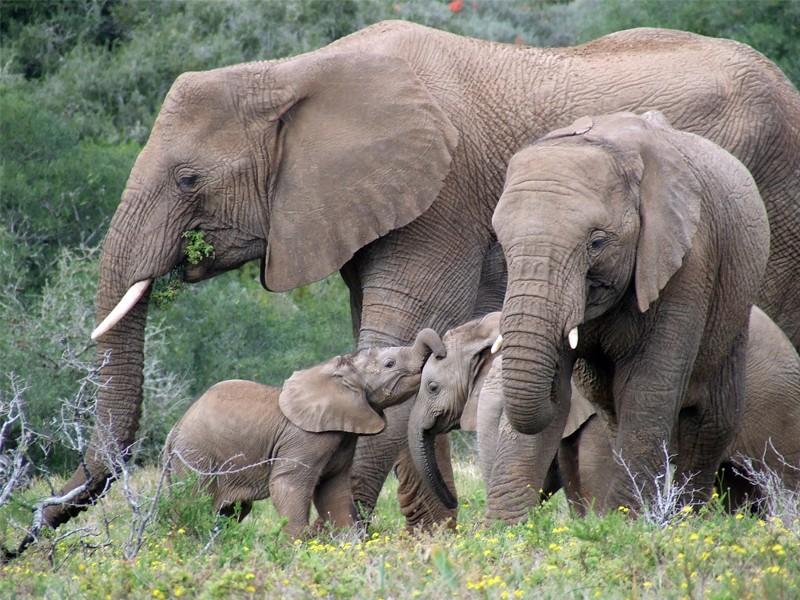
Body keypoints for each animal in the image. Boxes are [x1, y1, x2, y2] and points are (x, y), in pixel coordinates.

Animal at [163, 328, 444, 540]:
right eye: (389, 363)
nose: (441, 352)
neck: (338, 375)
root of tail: (173, 430)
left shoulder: (342, 438)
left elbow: (334, 492)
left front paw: (350, 547)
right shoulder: (304, 438)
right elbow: (288, 486)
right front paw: (296, 547)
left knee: (230, 511)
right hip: (196, 456)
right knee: (194, 503)